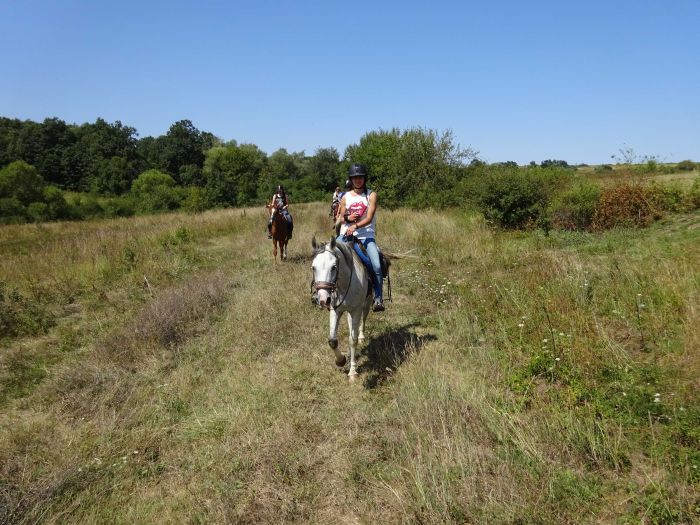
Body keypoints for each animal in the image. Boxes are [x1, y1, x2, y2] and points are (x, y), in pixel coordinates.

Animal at [314, 235, 374, 378]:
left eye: (333, 267)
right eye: (313, 267)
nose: (323, 299)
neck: (344, 284)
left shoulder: (356, 310)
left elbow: (353, 340)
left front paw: (352, 371)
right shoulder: (336, 310)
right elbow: (332, 340)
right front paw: (341, 360)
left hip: (366, 303)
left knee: (363, 319)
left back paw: (362, 336)